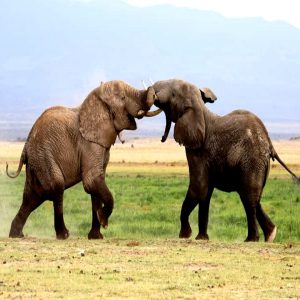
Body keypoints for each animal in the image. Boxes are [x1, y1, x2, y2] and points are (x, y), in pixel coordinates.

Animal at [5, 79, 162, 239]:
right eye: (123, 97)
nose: (154, 90)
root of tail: (26, 145)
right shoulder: (88, 144)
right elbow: (92, 180)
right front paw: (103, 220)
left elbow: (97, 183)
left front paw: (96, 236)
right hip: (43, 156)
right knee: (56, 187)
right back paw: (63, 235)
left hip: (36, 162)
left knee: (32, 197)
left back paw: (16, 235)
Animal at [149, 79, 298, 241]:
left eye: (173, 94)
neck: (200, 108)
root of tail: (269, 142)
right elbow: (205, 192)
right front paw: (201, 238)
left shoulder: (198, 150)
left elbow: (199, 186)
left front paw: (185, 235)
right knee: (253, 196)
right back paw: (270, 235)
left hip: (251, 160)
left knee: (249, 197)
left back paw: (251, 239)